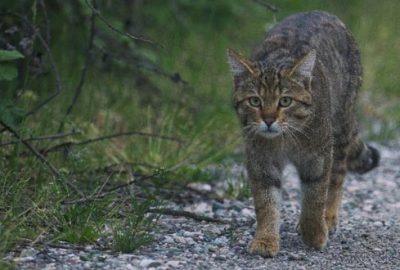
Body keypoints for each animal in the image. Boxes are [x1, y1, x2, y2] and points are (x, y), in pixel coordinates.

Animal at [227, 10, 380, 256]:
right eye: (255, 101)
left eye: (285, 101)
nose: (268, 120)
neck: (284, 141)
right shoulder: (261, 161)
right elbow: (266, 203)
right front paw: (265, 239)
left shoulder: (317, 158)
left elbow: (314, 198)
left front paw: (315, 233)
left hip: (340, 129)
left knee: (337, 177)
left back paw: (329, 217)